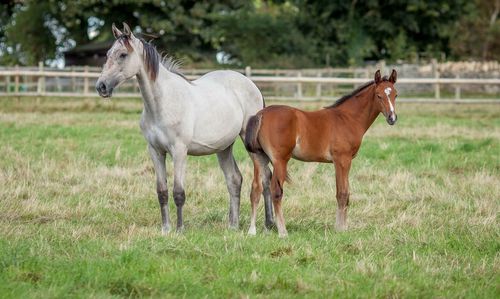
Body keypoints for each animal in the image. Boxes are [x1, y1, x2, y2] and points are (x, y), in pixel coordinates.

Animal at [246, 69, 398, 237]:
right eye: (379, 95)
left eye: (395, 95)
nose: (392, 118)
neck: (347, 118)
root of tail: (261, 115)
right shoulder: (342, 160)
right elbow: (342, 193)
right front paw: (340, 229)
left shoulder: (341, 161)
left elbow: (344, 193)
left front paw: (341, 227)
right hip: (280, 160)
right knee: (276, 191)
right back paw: (283, 232)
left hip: (259, 158)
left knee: (255, 189)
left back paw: (251, 231)